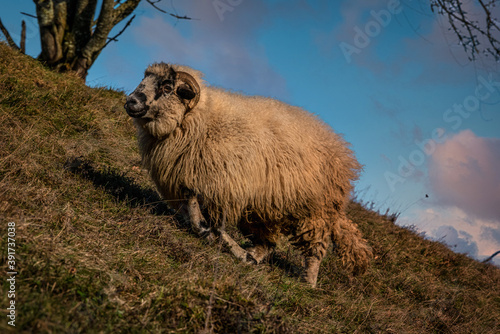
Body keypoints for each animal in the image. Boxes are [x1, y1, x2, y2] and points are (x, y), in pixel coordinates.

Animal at [124, 62, 372, 288]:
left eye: (167, 87)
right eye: (145, 79)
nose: (131, 101)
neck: (199, 120)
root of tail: (342, 152)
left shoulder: (220, 188)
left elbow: (208, 221)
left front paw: (210, 235)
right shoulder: (189, 181)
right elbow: (192, 209)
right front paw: (208, 233)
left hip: (314, 212)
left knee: (315, 250)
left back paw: (307, 282)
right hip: (266, 208)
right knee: (268, 243)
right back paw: (250, 256)